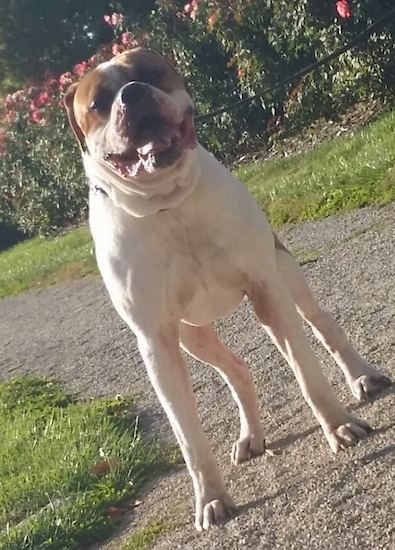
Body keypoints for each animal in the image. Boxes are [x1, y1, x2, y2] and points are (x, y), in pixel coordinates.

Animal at [64, 49, 390, 532]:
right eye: (99, 102)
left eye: (151, 72)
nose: (133, 93)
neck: (169, 204)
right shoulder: (158, 342)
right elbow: (188, 437)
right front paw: (211, 498)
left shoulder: (266, 289)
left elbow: (308, 374)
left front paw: (338, 426)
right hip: (192, 335)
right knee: (236, 370)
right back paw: (251, 436)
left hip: (286, 272)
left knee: (323, 326)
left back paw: (362, 376)